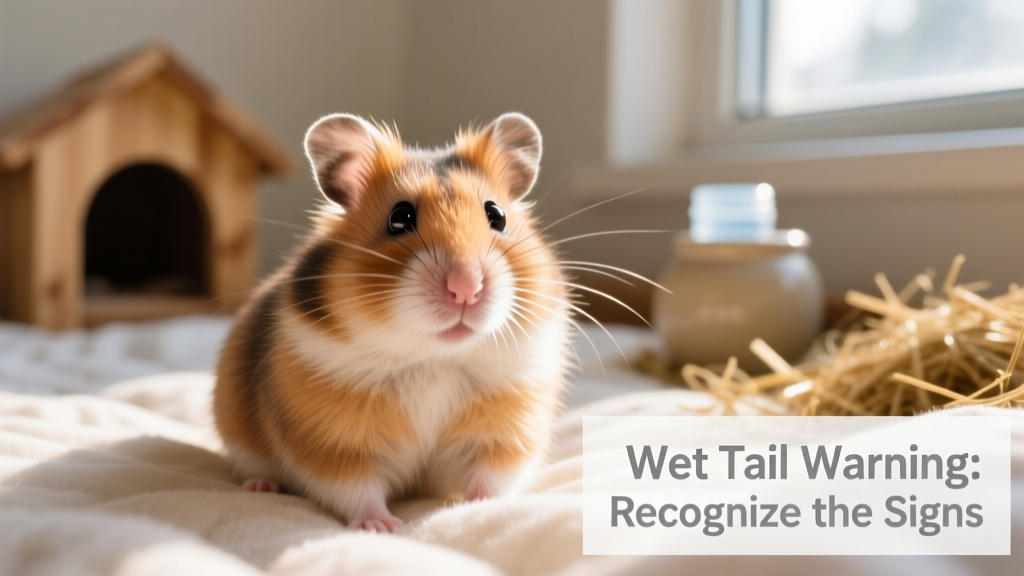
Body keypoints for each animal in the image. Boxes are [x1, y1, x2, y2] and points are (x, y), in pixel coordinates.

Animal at [213, 112, 570, 532]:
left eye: (496, 215)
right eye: (400, 218)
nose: (466, 288)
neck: (433, 359)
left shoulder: (503, 436)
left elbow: (489, 480)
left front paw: (479, 509)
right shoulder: (332, 442)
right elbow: (357, 488)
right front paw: (382, 527)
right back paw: (263, 486)